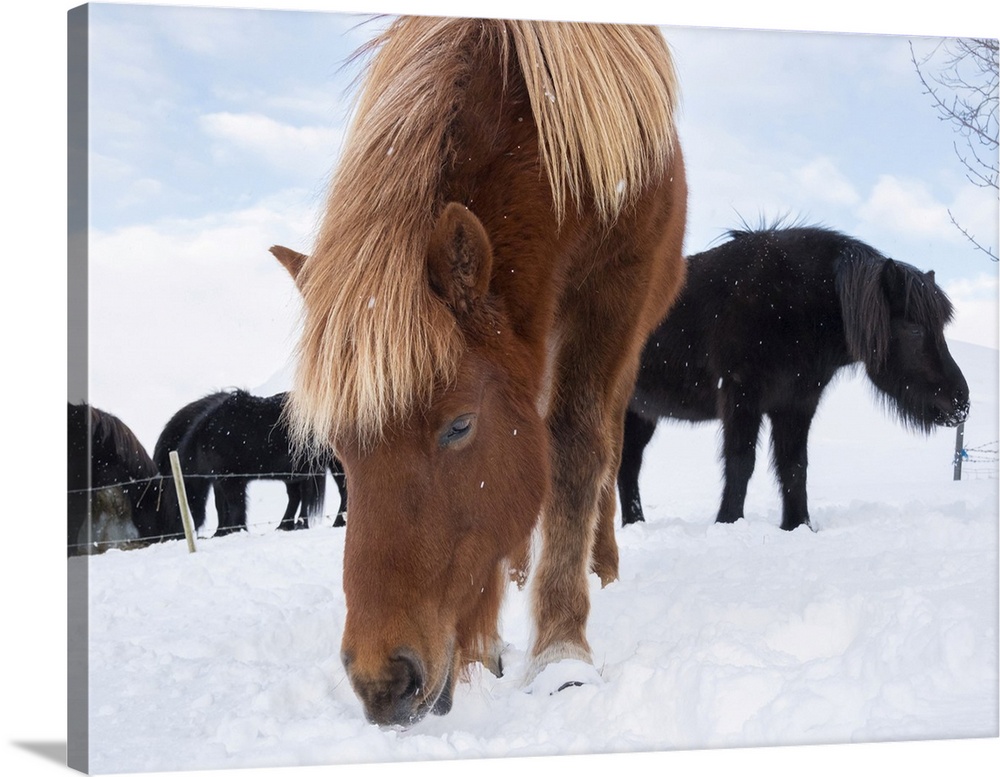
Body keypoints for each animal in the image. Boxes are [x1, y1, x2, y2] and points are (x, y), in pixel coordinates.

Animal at [153, 388, 348, 532]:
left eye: (175, 506)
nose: (175, 534)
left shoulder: (232, 480)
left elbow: (235, 505)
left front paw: (236, 529)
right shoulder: (221, 481)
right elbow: (222, 506)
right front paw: (222, 532)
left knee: (334, 492)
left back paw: (328, 522)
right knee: (300, 496)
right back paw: (286, 525)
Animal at [276, 15, 688, 724]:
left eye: (460, 426)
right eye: (338, 449)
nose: (382, 683)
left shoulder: (614, 293)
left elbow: (575, 452)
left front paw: (562, 654)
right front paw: (495, 635)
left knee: (606, 445)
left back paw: (600, 567)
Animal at [616, 221, 968, 532]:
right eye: (914, 329)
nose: (961, 402)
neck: (793, 303)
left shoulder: (796, 404)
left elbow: (794, 466)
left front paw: (798, 525)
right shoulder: (742, 396)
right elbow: (741, 461)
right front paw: (728, 523)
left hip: (641, 414)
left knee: (628, 466)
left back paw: (635, 524)